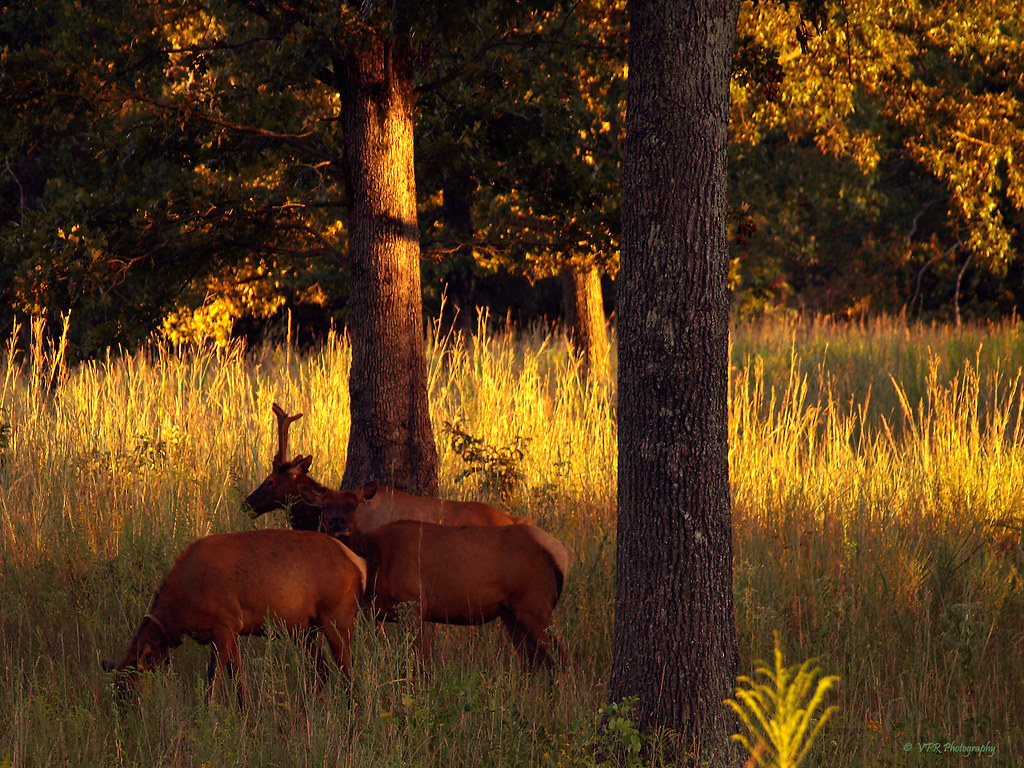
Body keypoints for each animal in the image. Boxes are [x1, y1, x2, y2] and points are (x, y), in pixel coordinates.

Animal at [102, 529, 366, 709]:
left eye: (128, 688)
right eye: (114, 689)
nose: (122, 717)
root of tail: (360, 565)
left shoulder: (224, 624)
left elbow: (212, 681)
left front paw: (206, 718)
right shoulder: (232, 631)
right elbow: (239, 680)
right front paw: (247, 721)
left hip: (337, 618)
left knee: (348, 674)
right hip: (307, 630)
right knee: (322, 672)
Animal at [302, 484, 572, 669]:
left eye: (354, 504)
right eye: (324, 505)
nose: (337, 522)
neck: (375, 558)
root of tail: (562, 552)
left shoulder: (414, 603)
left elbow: (420, 660)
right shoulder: (376, 613)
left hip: (534, 603)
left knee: (561, 658)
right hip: (511, 613)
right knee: (535, 661)